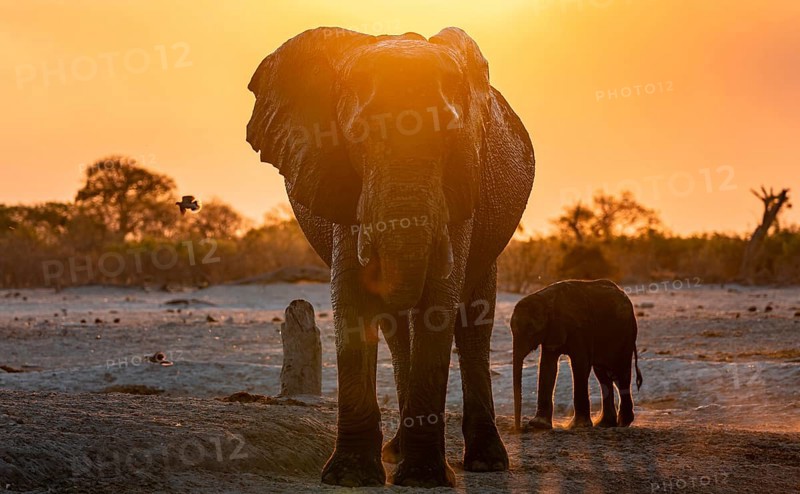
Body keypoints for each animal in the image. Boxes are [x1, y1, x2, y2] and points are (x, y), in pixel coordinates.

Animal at [246, 27, 535, 487]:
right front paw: (349, 477)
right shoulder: (346, 184)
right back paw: (396, 451)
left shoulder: (459, 186)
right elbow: (351, 296)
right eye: (357, 134)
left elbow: (438, 302)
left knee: (473, 322)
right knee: (398, 331)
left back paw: (486, 462)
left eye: (451, 135)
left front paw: (423, 479)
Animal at [511, 279, 642, 431]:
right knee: (604, 375)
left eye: (531, 330)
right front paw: (539, 425)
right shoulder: (551, 331)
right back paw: (605, 424)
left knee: (621, 374)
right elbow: (547, 366)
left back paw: (622, 424)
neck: (546, 299)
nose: (519, 429)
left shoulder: (581, 329)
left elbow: (580, 364)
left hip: (626, 335)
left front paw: (578, 425)